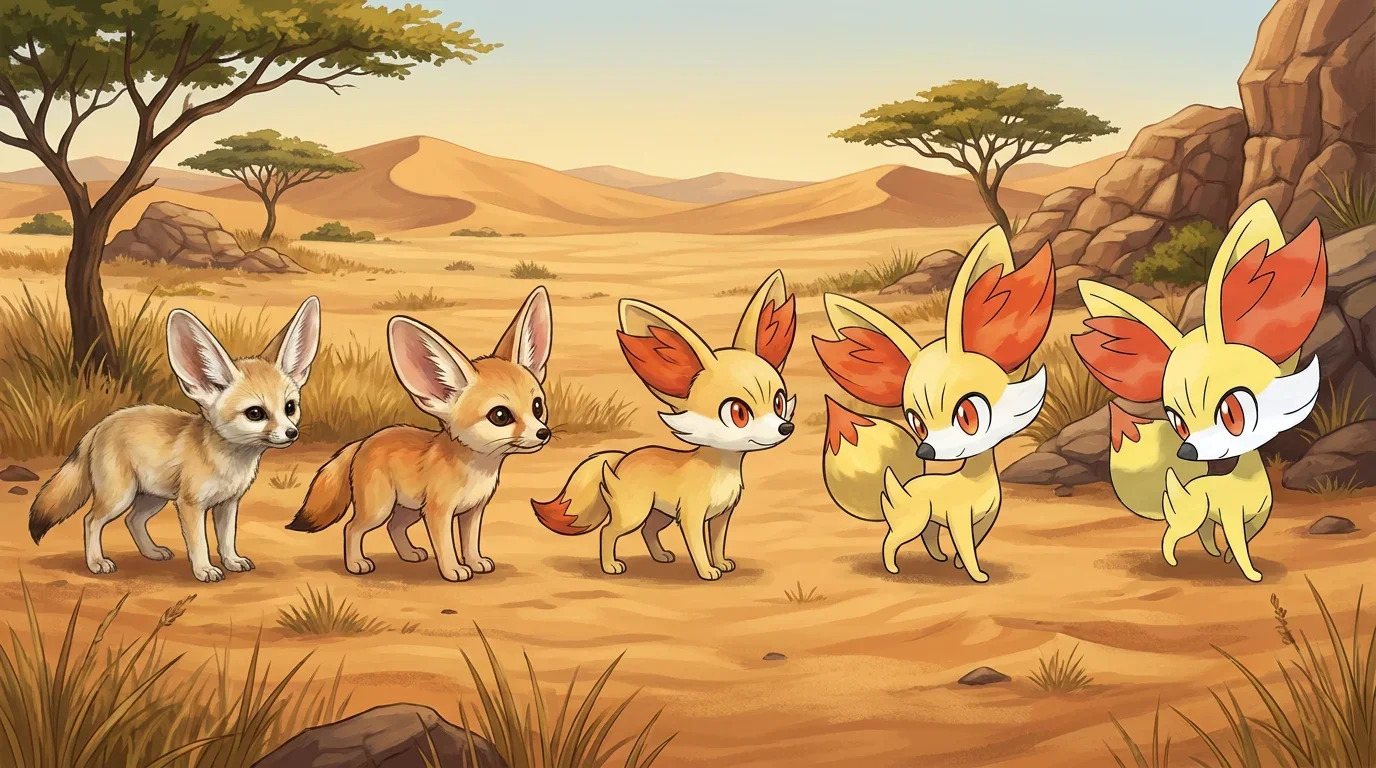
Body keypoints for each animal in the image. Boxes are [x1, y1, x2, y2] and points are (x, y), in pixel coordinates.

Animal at [29, 296, 322, 583]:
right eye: (255, 413)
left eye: (290, 407)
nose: (291, 433)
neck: (227, 462)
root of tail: (102, 424)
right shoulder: (190, 505)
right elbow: (199, 543)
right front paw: (204, 569)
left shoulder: (228, 503)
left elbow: (227, 539)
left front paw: (232, 561)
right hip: (120, 496)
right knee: (91, 520)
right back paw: (96, 562)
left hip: (152, 497)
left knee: (132, 520)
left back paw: (151, 552)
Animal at [288, 287, 553, 583]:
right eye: (500, 416)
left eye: (537, 407)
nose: (543, 433)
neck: (475, 470)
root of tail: (364, 441)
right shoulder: (438, 512)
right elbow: (446, 545)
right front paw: (453, 569)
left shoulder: (473, 511)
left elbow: (470, 542)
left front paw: (475, 562)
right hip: (380, 509)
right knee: (351, 527)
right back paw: (357, 563)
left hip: (408, 510)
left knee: (393, 527)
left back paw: (409, 554)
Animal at [531, 271, 797, 581]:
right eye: (738, 413)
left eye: (778, 402)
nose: (785, 429)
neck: (720, 470)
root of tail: (621, 458)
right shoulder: (692, 516)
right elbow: (699, 547)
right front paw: (707, 571)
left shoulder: (722, 515)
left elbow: (717, 544)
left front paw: (721, 563)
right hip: (635, 512)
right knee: (608, 532)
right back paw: (610, 565)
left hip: (658, 514)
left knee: (647, 532)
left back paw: (660, 556)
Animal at [813, 225, 1053, 582]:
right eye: (917, 424)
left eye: (968, 415)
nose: (925, 450)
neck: (974, 481)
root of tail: (906, 485)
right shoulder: (958, 517)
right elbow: (967, 547)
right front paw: (976, 576)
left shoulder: (983, 518)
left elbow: (972, 544)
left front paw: (960, 566)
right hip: (912, 520)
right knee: (891, 540)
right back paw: (893, 567)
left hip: (926, 519)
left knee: (927, 537)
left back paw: (938, 558)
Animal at [1072, 199, 1326, 582]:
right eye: (1178, 423)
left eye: (1232, 413)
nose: (1188, 451)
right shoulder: (1233, 517)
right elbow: (1240, 544)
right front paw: (1251, 574)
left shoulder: (1254, 516)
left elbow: (1246, 538)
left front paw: (1231, 561)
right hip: (1188, 517)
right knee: (1173, 534)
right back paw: (1176, 560)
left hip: (1200, 516)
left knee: (1203, 532)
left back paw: (1212, 554)